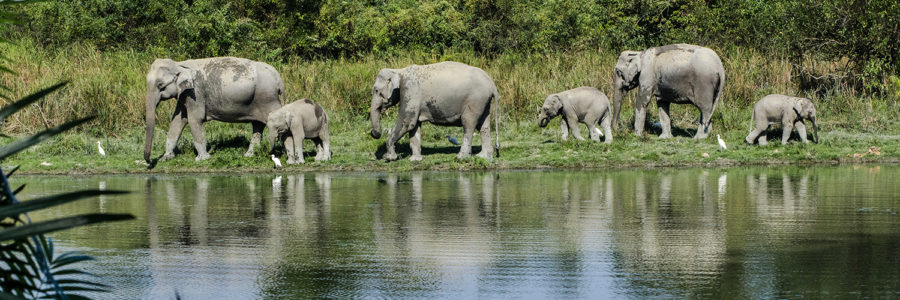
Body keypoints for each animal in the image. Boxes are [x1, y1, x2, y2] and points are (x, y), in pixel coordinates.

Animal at [143, 56, 282, 164]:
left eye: (160, 85)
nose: (149, 161)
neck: (179, 64)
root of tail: (279, 78)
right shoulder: (184, 95)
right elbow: (177, 120)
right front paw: (166, 158)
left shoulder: (196, 93)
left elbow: (195, 119)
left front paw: (202, 159)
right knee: (257, 125)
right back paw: (249, 155)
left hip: (267, 98)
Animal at [370, 60, 502, 162]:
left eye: (376, 91)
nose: (373, 133)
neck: (399, 71)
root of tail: (492, 84)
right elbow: (414, 126)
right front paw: (415, 160)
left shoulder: (410, 90)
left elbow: (407, 122)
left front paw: (389, 158)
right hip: (483, 102)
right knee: (484, 126)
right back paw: (483, 157)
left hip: (475, 100)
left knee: (468, 124)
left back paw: (460, 158)